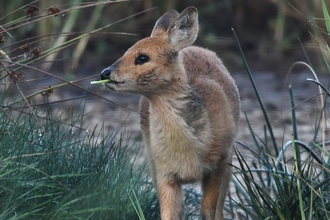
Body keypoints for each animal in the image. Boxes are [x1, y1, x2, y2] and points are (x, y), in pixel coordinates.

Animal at [99, 6, 241, 219]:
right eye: (126, 52)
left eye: (142, 57)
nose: (105, 73)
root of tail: (194, 47)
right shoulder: (164, 171)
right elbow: (169, 213)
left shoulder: (219, 162)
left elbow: (209, 211)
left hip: (229, 162)